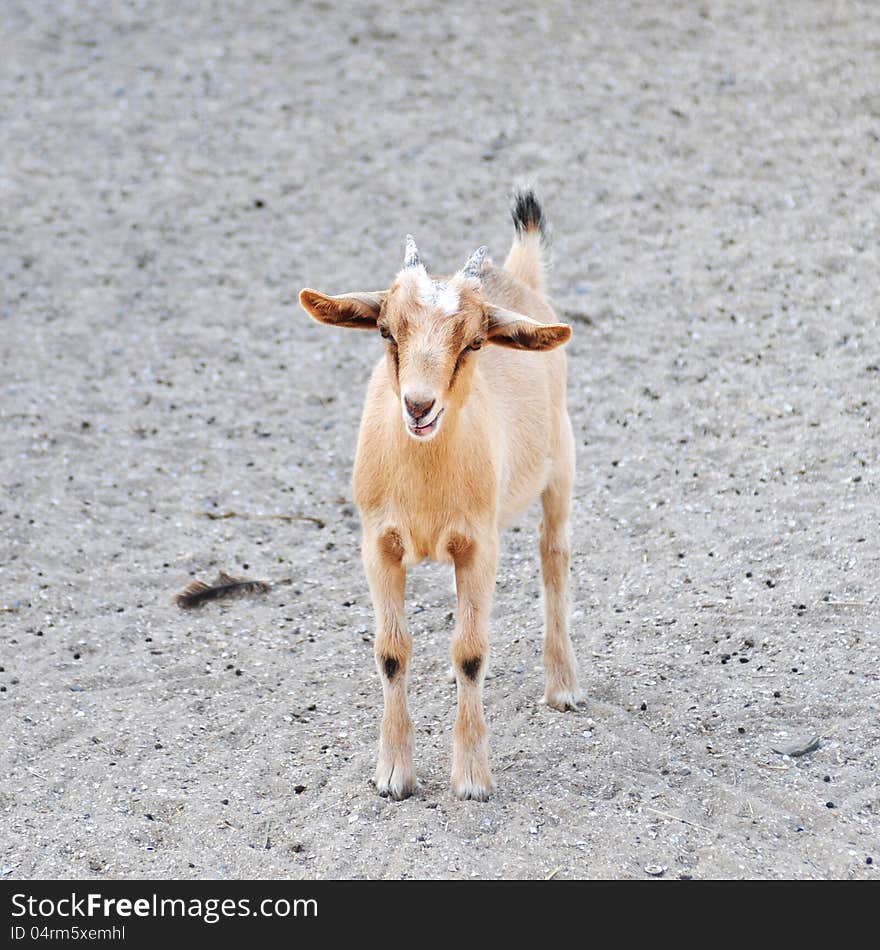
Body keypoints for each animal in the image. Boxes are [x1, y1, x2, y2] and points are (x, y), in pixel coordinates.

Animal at [300, 193, 580, 804]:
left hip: (562, 465)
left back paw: (564, 687)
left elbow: (471, 653)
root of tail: (516, 274)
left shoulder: (479, 546)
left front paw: (472, 778)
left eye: (473, 342)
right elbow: (391, 652)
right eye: (385, 331)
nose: (419, 406)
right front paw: (393, 775)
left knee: (554, 557)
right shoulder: (378, 546)